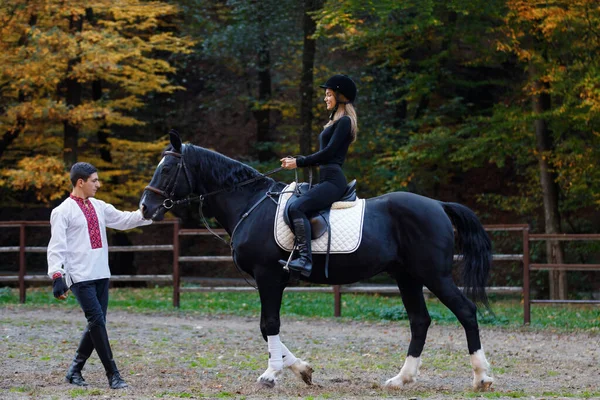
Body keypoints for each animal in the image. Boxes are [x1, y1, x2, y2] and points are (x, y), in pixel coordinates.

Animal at [139, 132, 492, 390]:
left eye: (167, 169)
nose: (145, 207)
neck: (250, 203)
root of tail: (438, 205)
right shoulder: (269, 280)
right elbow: (266, 328)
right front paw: (302, 370)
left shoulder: (269, 277)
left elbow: (269, 325)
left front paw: (271, 374)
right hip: (407, 277)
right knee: (420, 321)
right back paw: (401, 379)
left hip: (434, 275)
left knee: (465, 311)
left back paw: (481, 377)